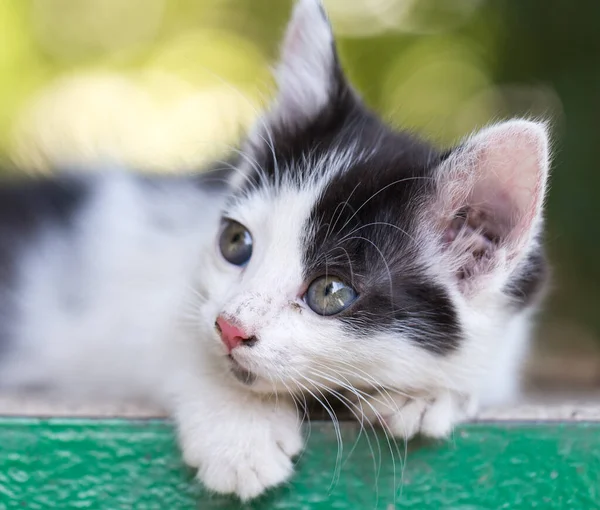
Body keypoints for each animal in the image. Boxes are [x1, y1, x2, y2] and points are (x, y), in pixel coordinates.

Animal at [0, 0, 548, 502]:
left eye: (330, 292)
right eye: (235, 243)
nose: (229, 327)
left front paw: (431, 394)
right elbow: (175, 337)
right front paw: (240, 431)